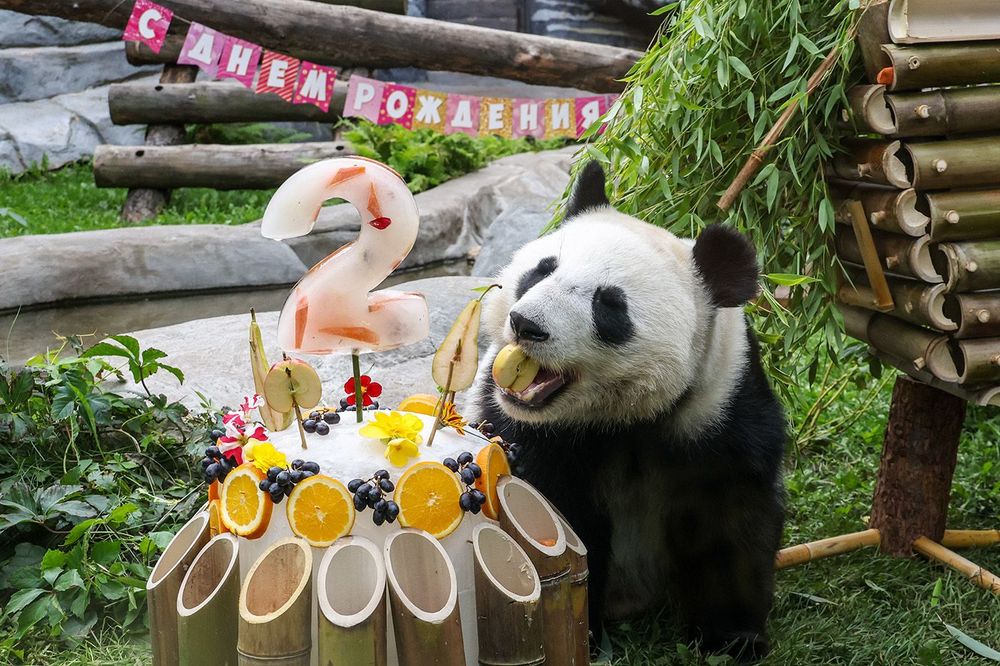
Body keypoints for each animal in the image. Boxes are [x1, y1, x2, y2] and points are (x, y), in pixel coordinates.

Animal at [468, 161, 787, 662]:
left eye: (609, 304)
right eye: (542, 270)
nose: (526, 324)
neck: (622, 417)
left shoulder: (721, 410)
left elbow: (731, 520)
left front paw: (734, 638)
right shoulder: (526, 431)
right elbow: (560, 522)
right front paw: (587, 636)